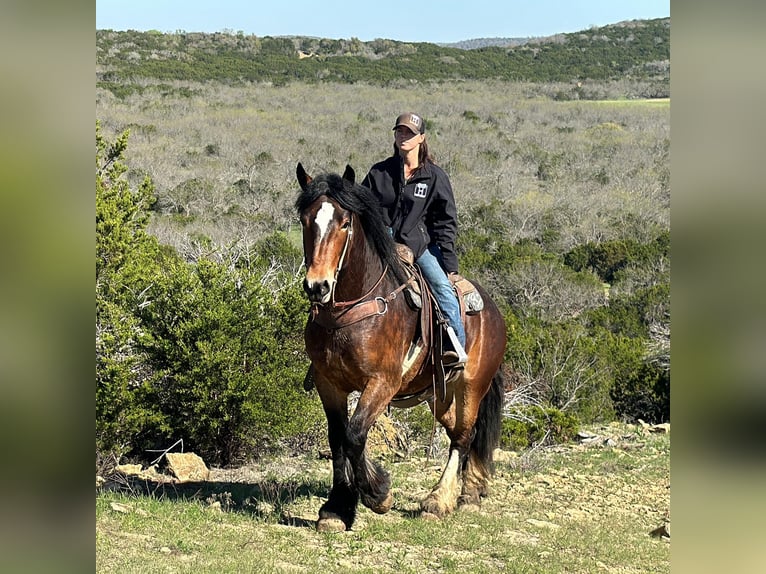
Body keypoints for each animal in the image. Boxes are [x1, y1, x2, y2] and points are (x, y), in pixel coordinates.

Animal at [296, 163, 508, 536]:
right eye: (306, 221)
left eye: (345, 222)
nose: (317, 286)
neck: (353, 309)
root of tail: (493, 310)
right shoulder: (328, 383)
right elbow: (338, 438)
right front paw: (336, 508)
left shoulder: (383, 382)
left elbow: (355, 434)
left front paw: (378, 494)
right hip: (440, 394)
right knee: (459, 432)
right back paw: (469, 491)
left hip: (472, 385)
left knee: (464, 436)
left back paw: (444, 499)